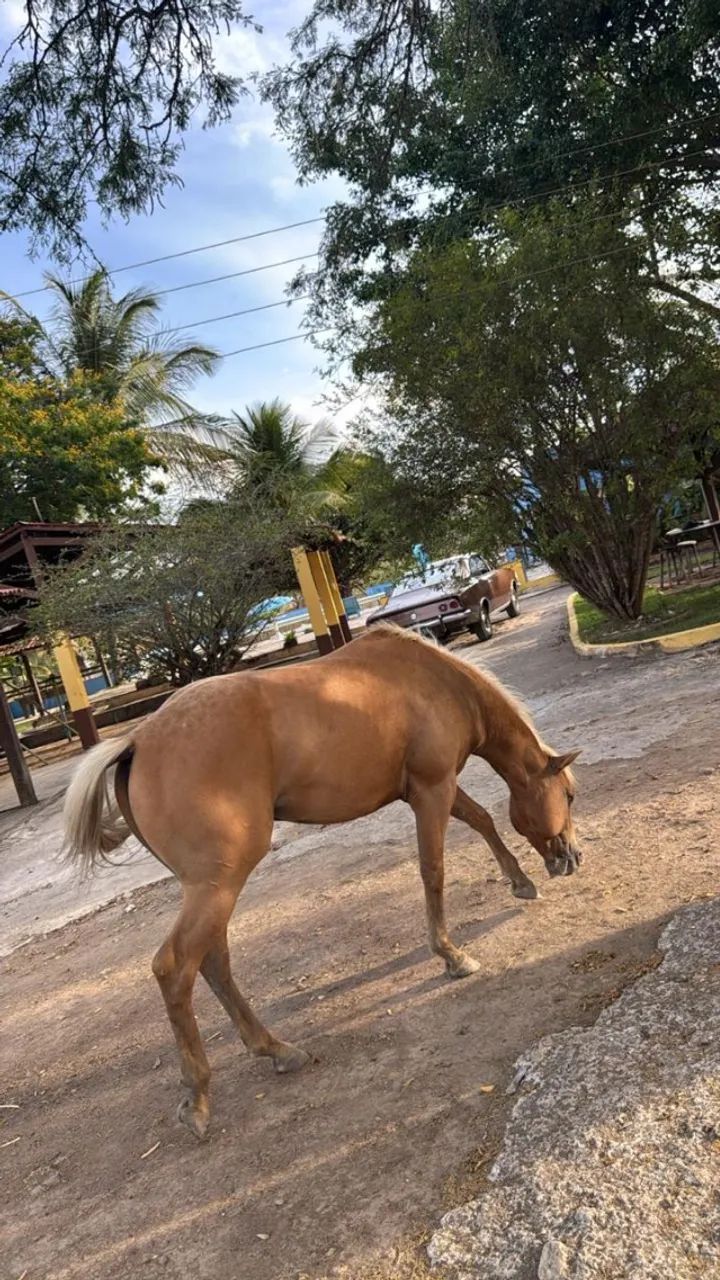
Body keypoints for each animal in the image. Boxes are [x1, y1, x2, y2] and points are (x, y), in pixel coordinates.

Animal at [64, 625, 581, 1139]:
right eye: (570, 795)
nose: (572, 857)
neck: (436, 681)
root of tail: (136, 741)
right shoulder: (432, 790)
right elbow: (433, 869)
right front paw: (452, 955)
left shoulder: (433, 790)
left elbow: (483, 821)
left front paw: (520, 882)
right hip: (217, 885)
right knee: (176, 968)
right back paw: (198, 1097)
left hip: (211, 889)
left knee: (213, 961)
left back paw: (274, 1049)